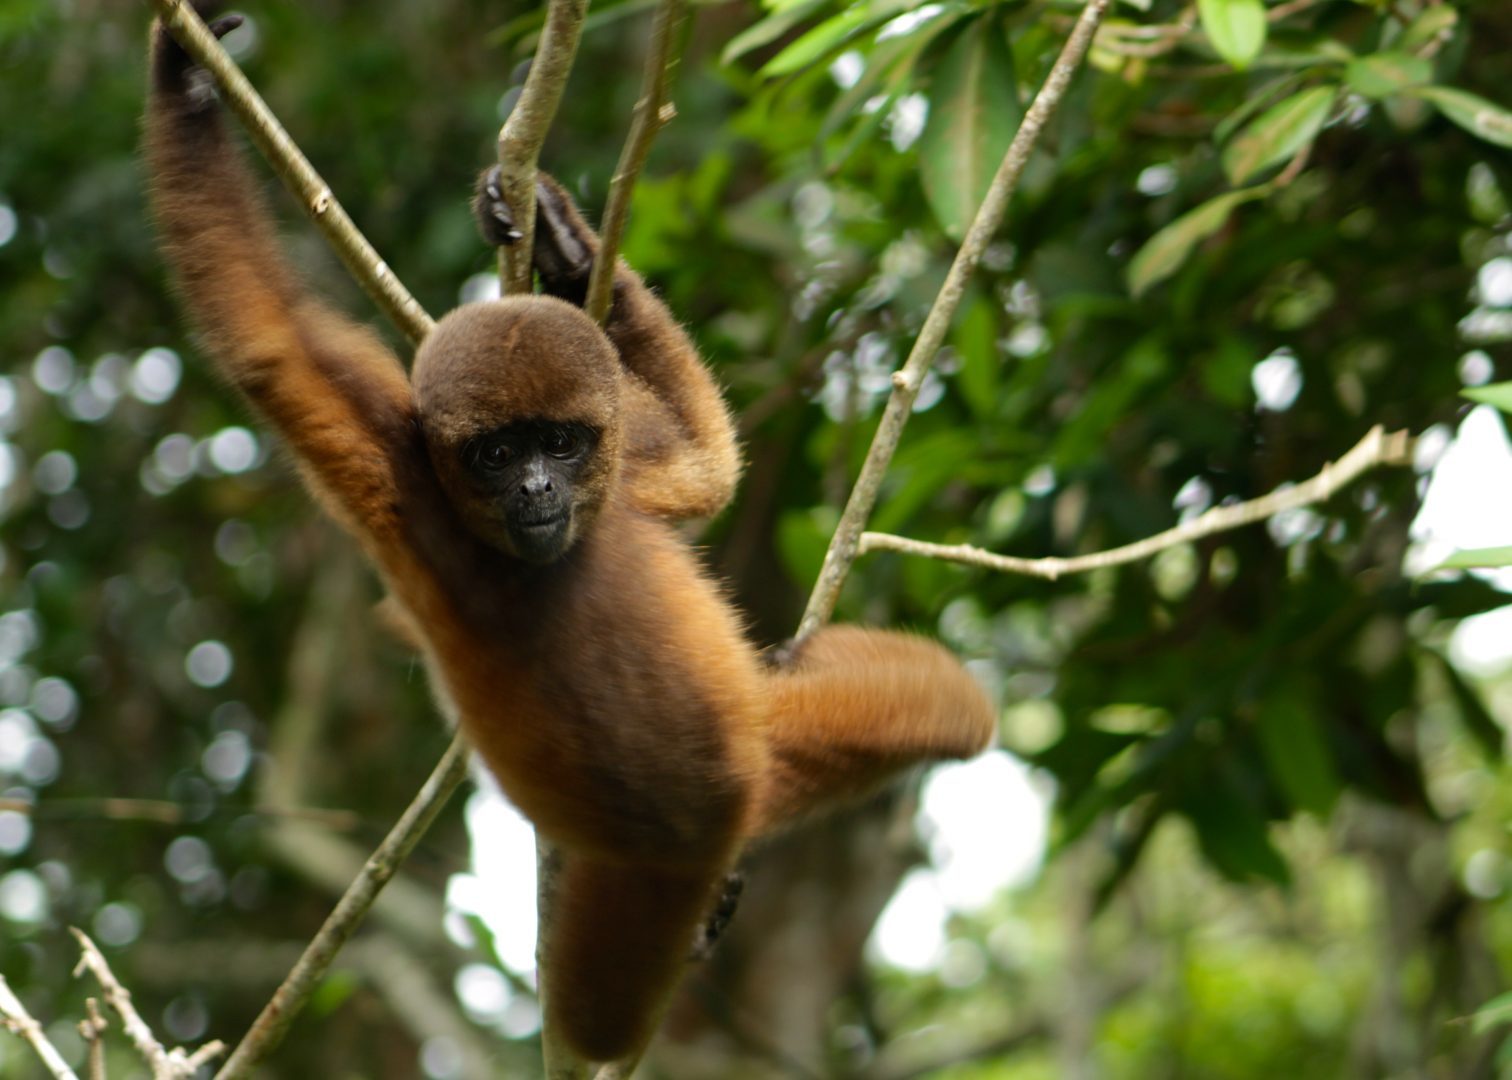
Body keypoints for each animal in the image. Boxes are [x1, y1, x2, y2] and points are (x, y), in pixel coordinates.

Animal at [145, 7, 996, 1066]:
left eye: (556, 442)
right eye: (499, 452)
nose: (540, 487)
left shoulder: (606, 482)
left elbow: (708, 470)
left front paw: (560, 240)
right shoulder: (403, 470)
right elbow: (266, 342)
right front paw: (185, 81)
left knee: (940, 710)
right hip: (655, 874)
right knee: (602, 1014)